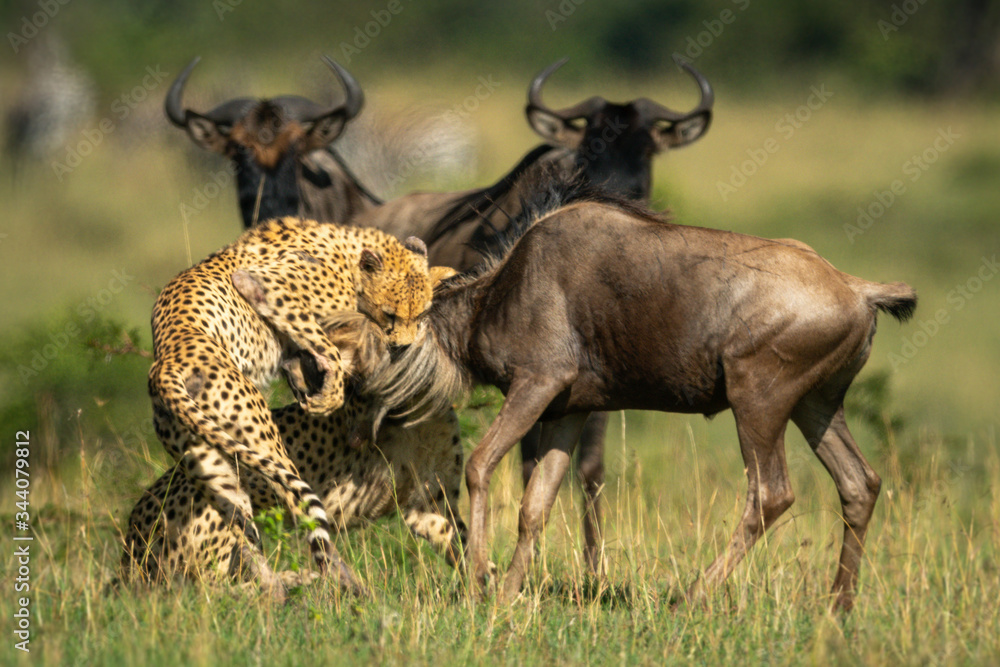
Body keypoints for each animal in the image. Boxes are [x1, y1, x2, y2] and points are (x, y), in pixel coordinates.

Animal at [146, 215, 435, 598]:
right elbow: (326, 347)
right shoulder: (271, 287)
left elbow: (308, 354)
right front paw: (327, 396)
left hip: (209, 463)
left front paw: (310, 385)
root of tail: (165, 363)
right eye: (390, 314)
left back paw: (274, 588)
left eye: (422, 314)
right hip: (263, 439)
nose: (402, 347)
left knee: (238, 520)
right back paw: (338, 579)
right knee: (299, 506)